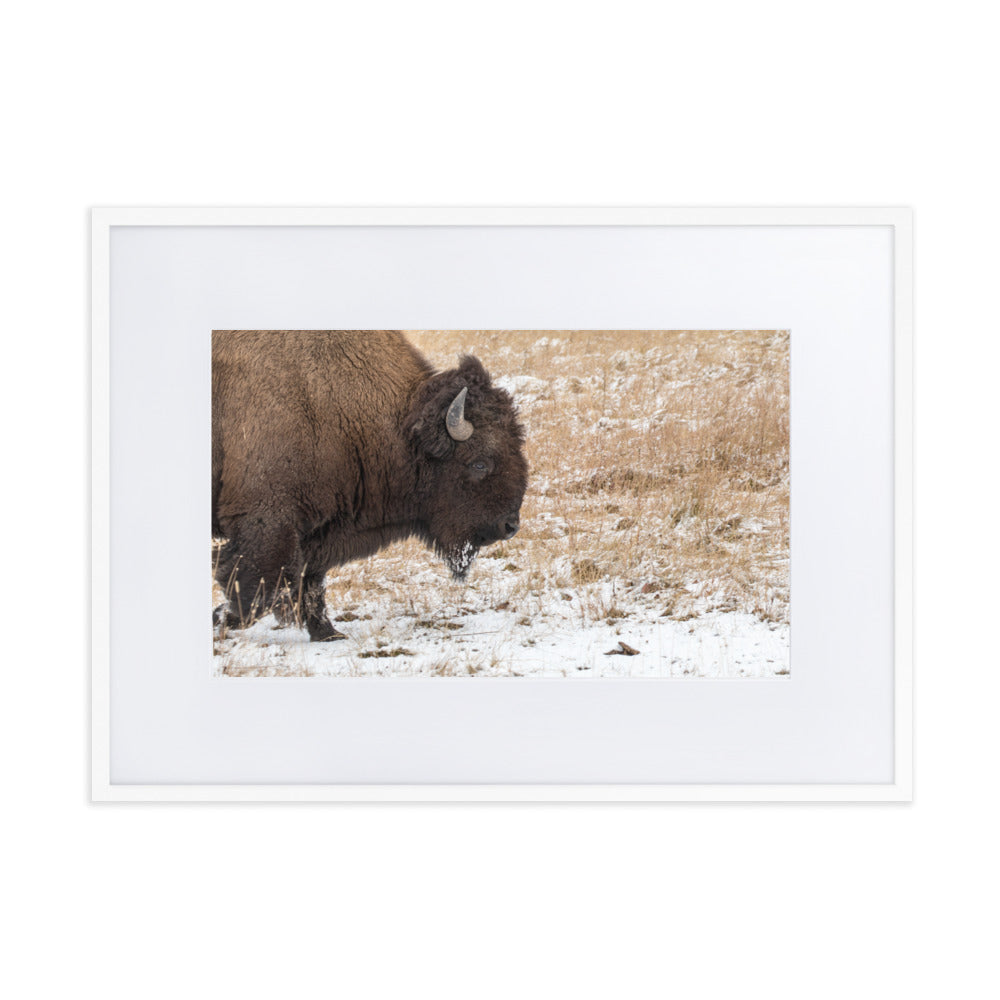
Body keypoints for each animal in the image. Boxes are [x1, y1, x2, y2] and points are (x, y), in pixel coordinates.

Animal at [212, 330, 528, 641]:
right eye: (479, 463)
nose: (509, 526)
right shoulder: (269, 519)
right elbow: (257, 585)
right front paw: (221, 618)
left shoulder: (317, 532)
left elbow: (308, 579)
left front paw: (328, 633)